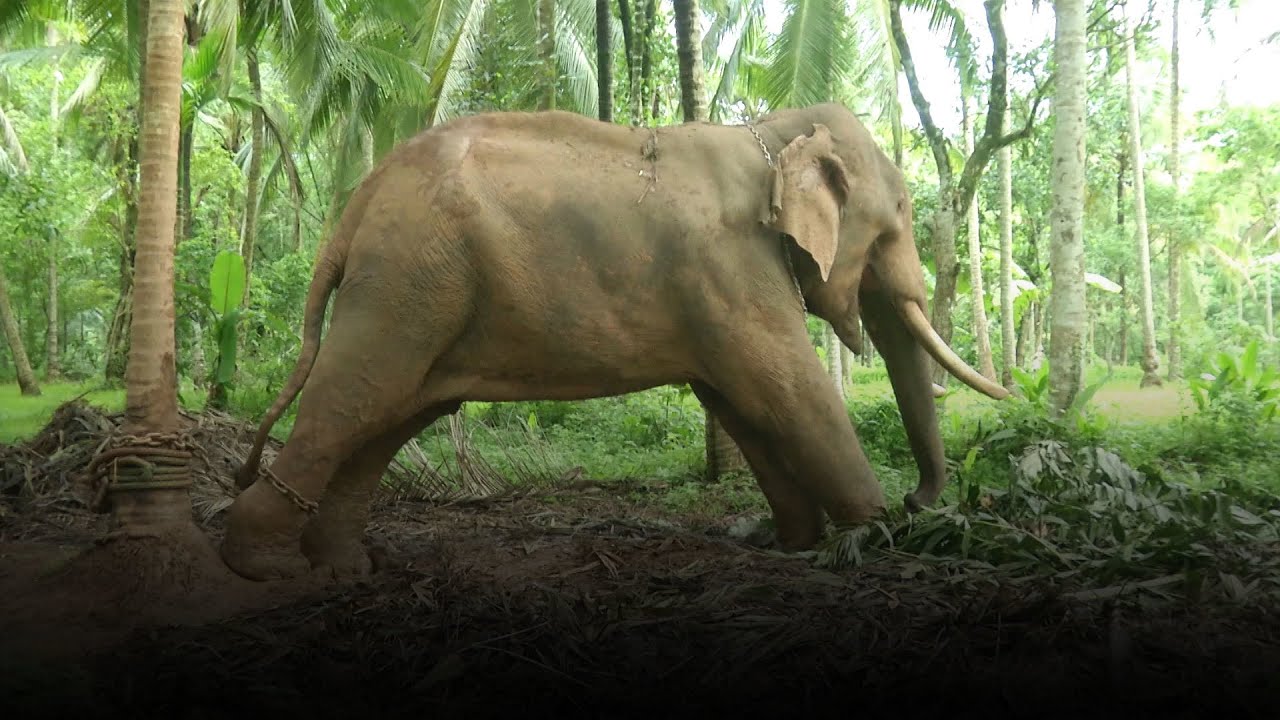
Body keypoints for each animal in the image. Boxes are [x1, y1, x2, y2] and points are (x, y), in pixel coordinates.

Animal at [219, 102, 1009, 581]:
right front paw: (876, 540)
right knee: (357, 392)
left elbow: (736, 401)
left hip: (424, 287)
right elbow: (786, 387)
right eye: (900, 213)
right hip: (408, 278)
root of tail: (358, 201)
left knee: (388, 414)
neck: (772, 130)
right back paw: (264, 566)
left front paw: (793, 539)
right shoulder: (731, 267)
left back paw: (342, 568)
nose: (919, 501)